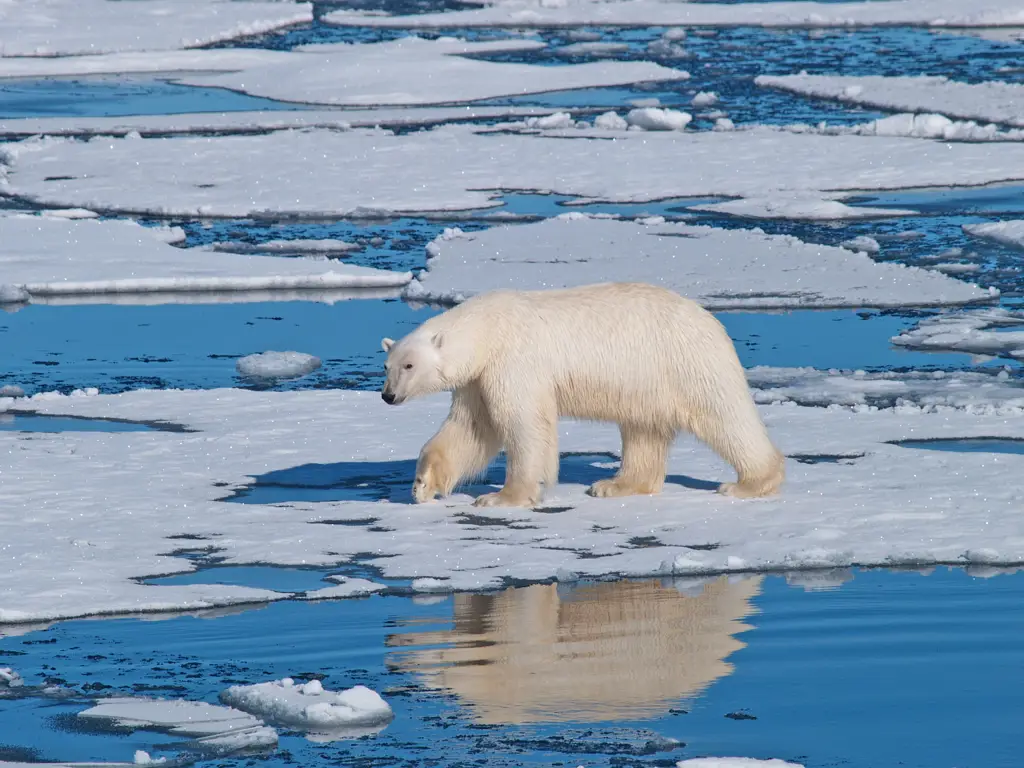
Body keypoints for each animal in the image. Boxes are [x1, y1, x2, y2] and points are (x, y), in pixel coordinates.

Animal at [380, 282, 786, 512]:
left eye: (410, 365)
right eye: (387, 365)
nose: (388, 396)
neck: (487, 329)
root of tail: (710, 319)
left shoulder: (514, 360)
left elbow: (523, 424)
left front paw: (503, 497)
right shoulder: (478, 379)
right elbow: (471, 429)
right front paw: (422, 485)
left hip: (685, 361)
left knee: (723, 415)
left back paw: (749, 482)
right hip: (648, 382)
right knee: (643, 429)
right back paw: (614, 485)